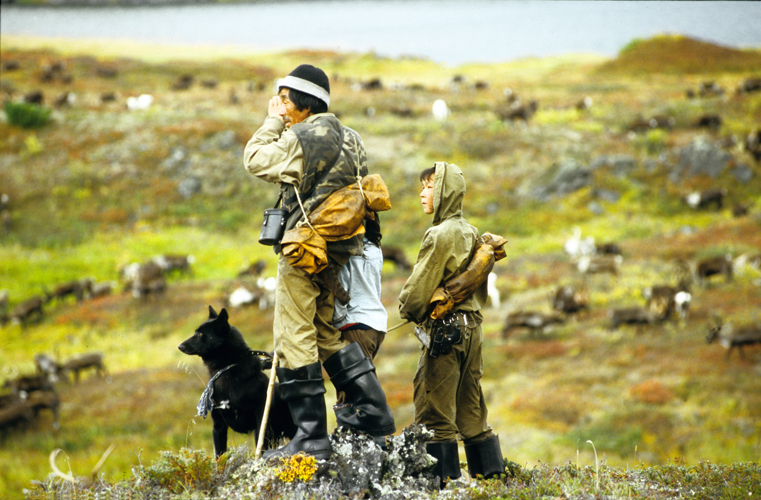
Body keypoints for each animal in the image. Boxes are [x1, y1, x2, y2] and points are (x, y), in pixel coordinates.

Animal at [180, 304, 296, 458]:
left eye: (200, 334)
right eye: (196, 332)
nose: (180, 346)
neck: (228, 368)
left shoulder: (261, 424)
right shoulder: (218, 426)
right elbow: (220, 455)